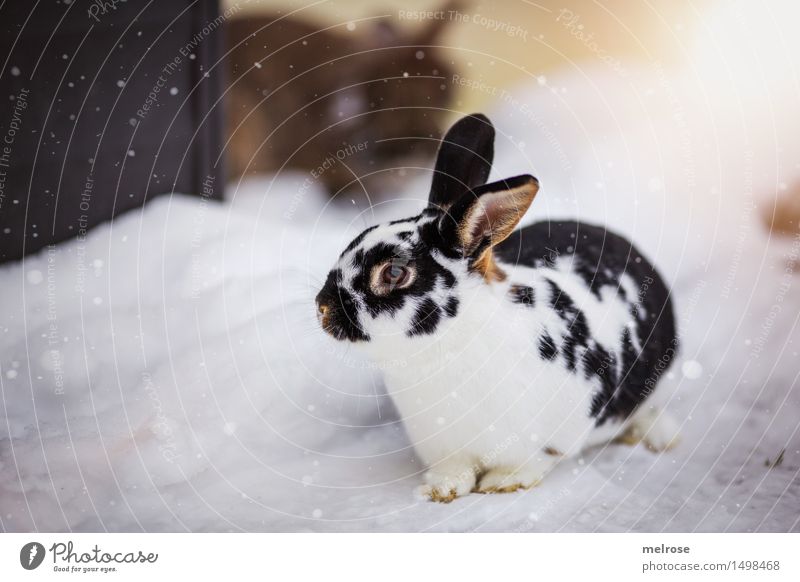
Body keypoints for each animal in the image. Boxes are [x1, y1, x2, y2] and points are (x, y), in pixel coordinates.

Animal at [316, 114, 680, 502]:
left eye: (394, 273)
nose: (323, 308)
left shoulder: (548, 437)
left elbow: (532, 462)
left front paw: (501, 484)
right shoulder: (447, 448)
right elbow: (454, 470)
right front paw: (441, 489)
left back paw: (660, 437)